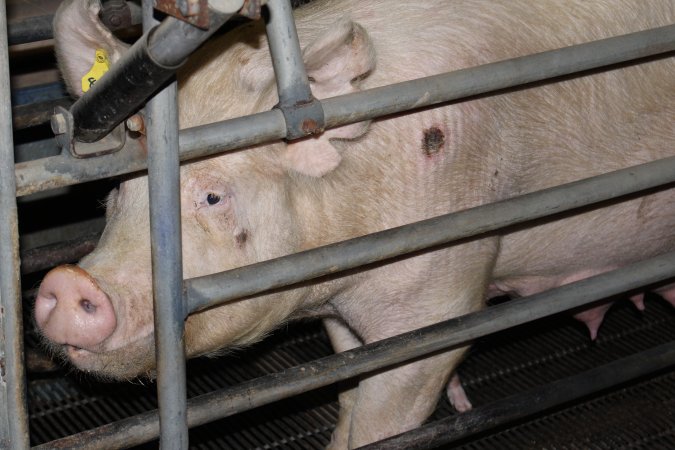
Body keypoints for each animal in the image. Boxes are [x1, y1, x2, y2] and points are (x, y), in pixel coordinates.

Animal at [34, 0, 675, 448]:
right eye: (120, 189)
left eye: (214, 195)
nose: (69, 281)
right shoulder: (343, 319)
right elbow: (348, 393)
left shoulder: (444, 294)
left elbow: (384, 417)